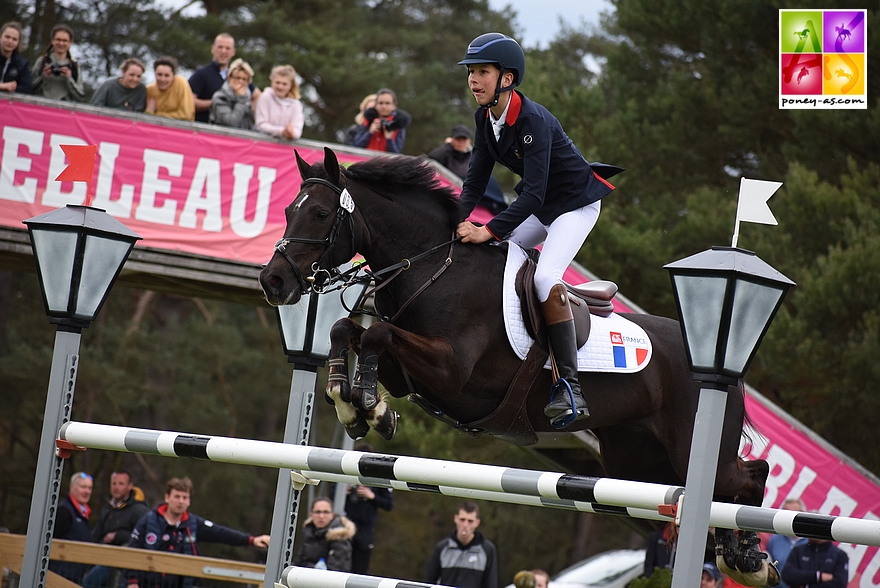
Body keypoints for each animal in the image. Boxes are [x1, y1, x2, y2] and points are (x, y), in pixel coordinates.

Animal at [258, 148, 772, 584]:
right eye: (287, 211)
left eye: (321, 214)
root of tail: (727, 377)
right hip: (639, 463)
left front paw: (366, 403)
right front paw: (357, 403)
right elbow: (345, 329)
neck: (433, 267)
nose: (273, 281)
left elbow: (376, 334)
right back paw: (736, 554)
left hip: (688, 452)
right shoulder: (409, 373)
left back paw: (746, 558)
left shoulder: (452, 374)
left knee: (750, 476)